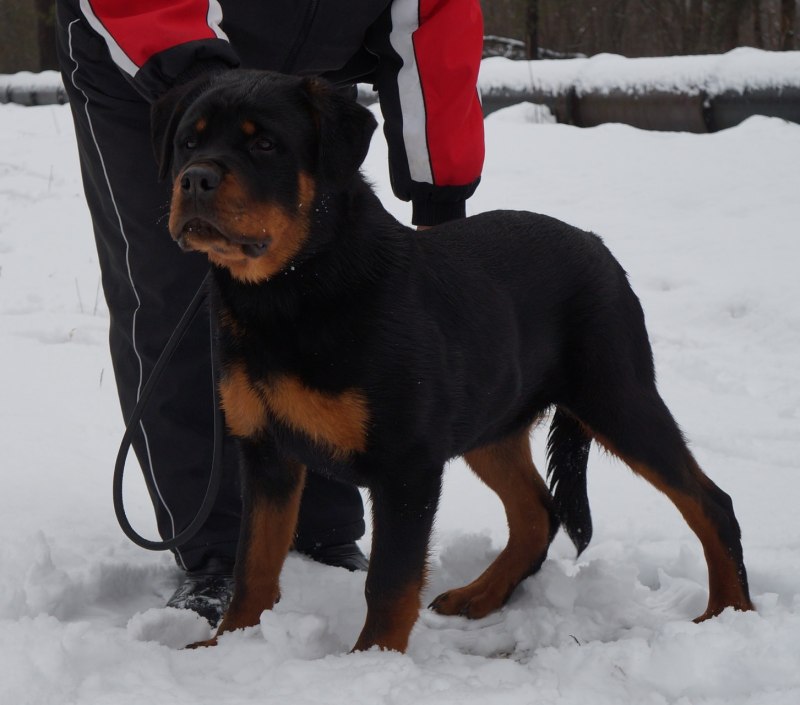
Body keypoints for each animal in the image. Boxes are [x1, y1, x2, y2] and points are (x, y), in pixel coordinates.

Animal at [153, 70, 752, 648]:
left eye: (266, 144)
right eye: (188, 143)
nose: (195, 179)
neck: (292, 291)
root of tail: (596, 243)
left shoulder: (407, 463)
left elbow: (390, 582)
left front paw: (371, 660)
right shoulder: (265, 451)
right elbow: (254, 561)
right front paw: (228, 643)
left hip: (616, 394)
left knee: (710, 501)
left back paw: (729, 612)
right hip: (491, 420)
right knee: (538, 512)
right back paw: (480, 595)